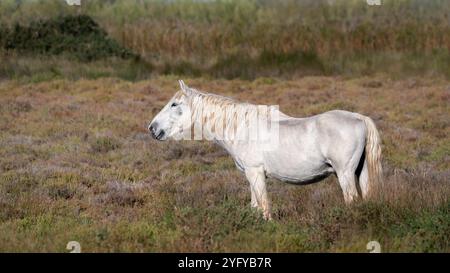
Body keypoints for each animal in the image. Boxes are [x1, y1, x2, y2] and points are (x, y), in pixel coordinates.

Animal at [149, 81, 382, 219]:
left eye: (174, 104)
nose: (152, 128)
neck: (242, 127)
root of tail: (359, 117)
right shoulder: (252, 176)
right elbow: (255, 206)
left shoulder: (255, 173)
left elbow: (264, 207)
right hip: (359, 173)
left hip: (344, 174)